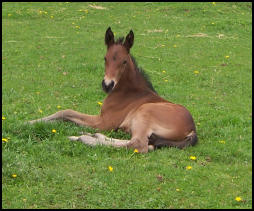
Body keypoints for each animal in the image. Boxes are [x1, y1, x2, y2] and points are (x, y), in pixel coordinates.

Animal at [28, 27, 197, 152]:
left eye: (124, 61)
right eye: (105, 58)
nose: (107, 85)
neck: (128, 92)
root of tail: (192, 128)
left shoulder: (104, 121)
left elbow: (67, 112)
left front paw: (29, 122)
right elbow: (66, 113)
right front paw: (34, 121)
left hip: (145, 112)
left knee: (138, 144)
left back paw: (86, 139)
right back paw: (91, 136)